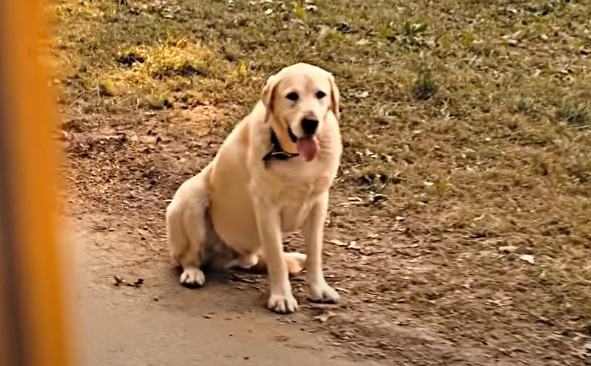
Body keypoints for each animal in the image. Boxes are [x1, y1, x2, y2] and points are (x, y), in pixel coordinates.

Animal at [165, 63, 342, 314]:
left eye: (321, 94)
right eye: (292, 96)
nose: (310, 122)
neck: (292, 154)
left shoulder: (318, 205)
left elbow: (315, 253)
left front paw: (319, 289)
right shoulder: (267, 210)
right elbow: (276, 260)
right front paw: (281, 297)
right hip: (191, 197)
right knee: (189, 258)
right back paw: (193, 273)